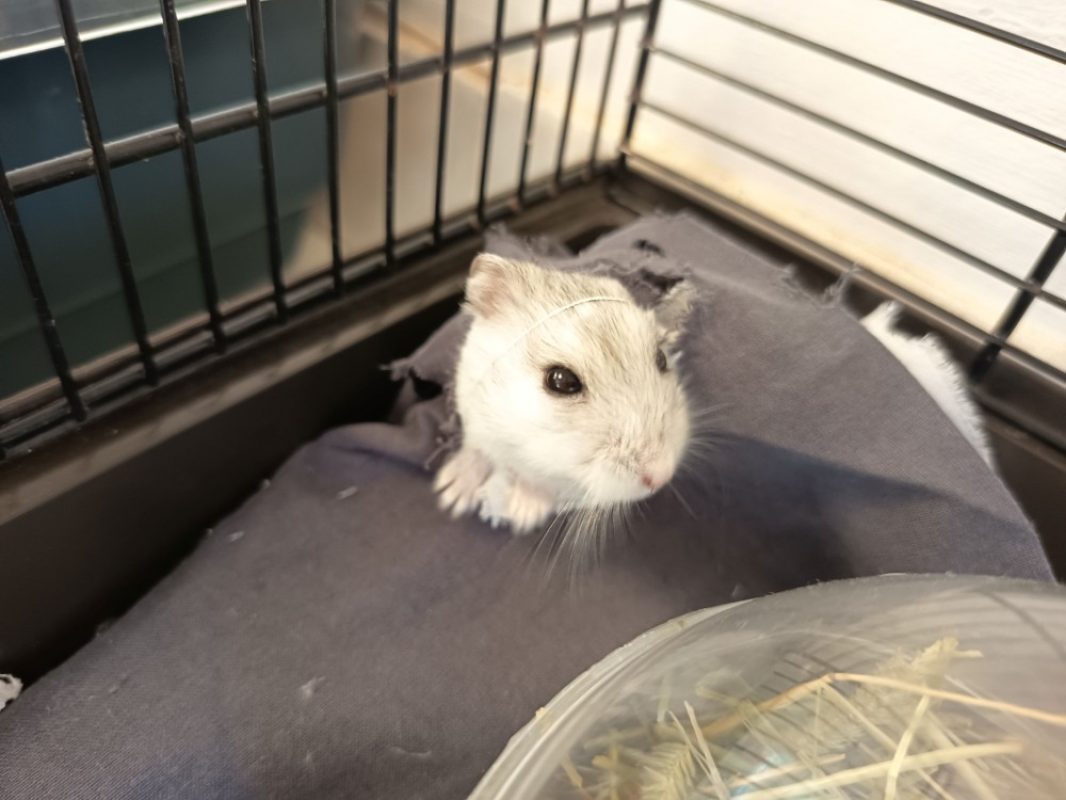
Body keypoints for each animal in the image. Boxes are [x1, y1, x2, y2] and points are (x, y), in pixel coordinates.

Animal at [434, 253, 695, 535]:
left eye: (661, 359)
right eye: (561, 380)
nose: (662, 475)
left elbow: (538, 479)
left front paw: (524, 516)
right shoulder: (473, 413)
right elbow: (477, 450)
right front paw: (449, 496)